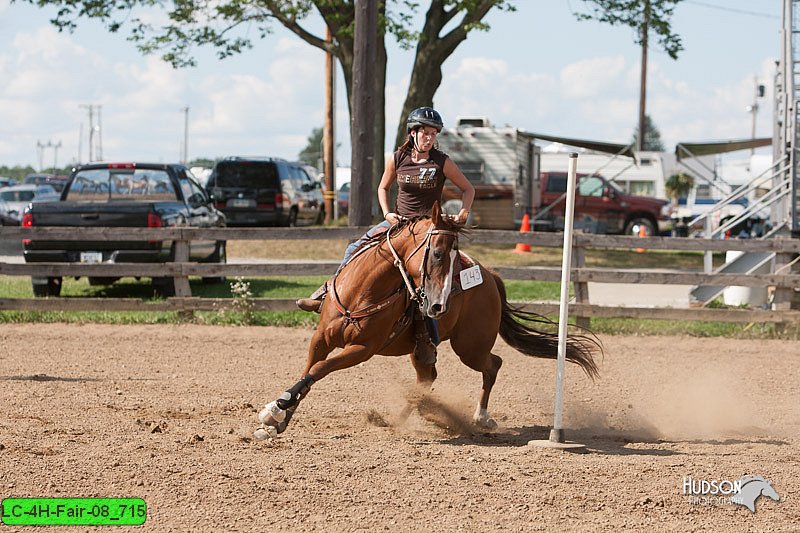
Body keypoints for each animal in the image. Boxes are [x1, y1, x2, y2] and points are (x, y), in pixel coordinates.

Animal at [256, 202, 600, 438]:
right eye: (436, 253)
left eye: (453, 256)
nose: (437, 305)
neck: (361, 292)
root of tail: (490, 276)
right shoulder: (321, 339)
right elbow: (309, 371)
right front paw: (277, 418)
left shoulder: (361, 350)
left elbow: (319, 370)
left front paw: (277, 408)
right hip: (422, 349)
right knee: (427, 379)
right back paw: (404, 417)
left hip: (470, 347)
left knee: (493, 364)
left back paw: (480, 418)